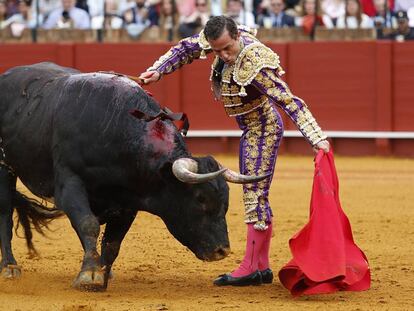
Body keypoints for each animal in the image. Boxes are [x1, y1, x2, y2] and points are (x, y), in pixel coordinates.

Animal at [0, 62, 266, 292]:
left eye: (225, 201)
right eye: (200, 198)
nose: (223, 251)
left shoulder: (128, 201)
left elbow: (112, 242)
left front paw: (103, 274)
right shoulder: (69, 184)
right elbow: (88, 223)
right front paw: (89, 275)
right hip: (5, 168)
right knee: (5, 213)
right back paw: (10, 267)